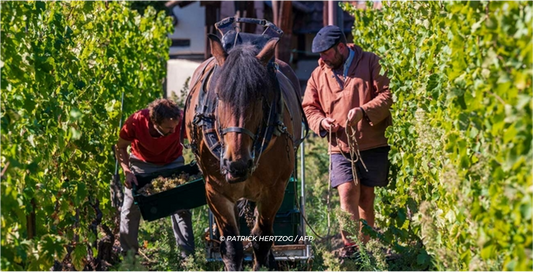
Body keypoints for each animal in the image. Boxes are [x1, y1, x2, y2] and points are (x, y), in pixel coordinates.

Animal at [185, 34, 304, 272]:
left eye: (259, 97)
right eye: (219, 97)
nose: (237, 164)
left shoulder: (274, 190)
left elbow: (261, 239)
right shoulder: (215, 191)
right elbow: (231, 247)